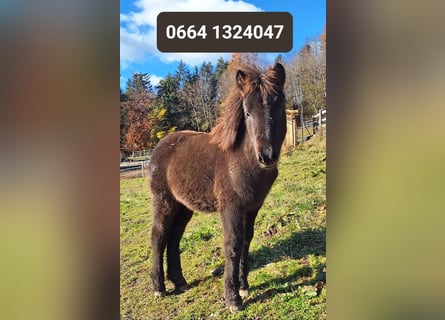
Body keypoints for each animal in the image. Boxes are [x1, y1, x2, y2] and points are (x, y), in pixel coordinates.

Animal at [147, 63, 286, 312]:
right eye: (247, 113)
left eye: (280, 108)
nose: (267, 156)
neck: (241, 160)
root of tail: (161, 146)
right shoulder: (231, 207)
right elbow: (233, 245)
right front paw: (233, 299)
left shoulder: (252, 208)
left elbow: (246, 241)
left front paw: (243, 286)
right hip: (164, 201)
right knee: (159, 236)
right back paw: (159, 288)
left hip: (184, 207)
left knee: (174, 237)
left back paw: (180, 282)